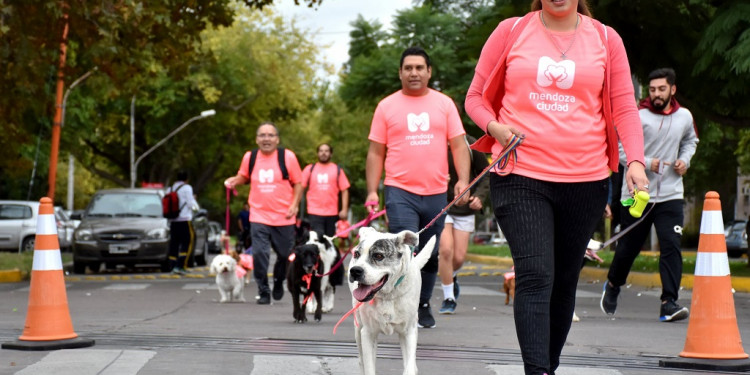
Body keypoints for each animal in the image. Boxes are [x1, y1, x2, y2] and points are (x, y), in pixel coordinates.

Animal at [348, 226, 434, 375]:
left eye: (378, 256)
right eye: (356, 254)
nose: (355, 271)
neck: (387, 295)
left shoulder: (409, 332)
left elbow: (409, 366)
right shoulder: (368, 333)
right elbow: (369, 367)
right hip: (358, 330)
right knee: (361, 360)